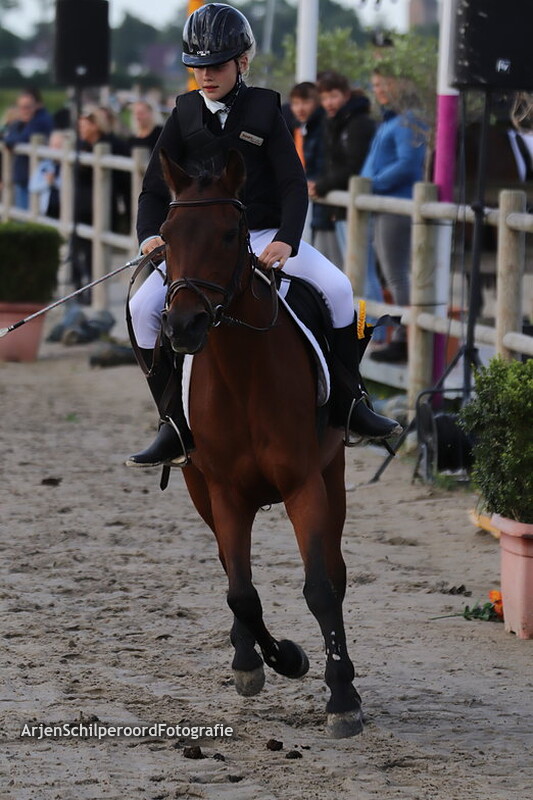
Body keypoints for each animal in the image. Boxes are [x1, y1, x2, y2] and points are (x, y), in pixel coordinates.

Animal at [157, 148, 362, 738]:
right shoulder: (224, 492)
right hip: (198, 486)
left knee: (334, 572)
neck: (242, 375)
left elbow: (320, 586)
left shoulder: (303, 484)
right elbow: (241, 592)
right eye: (165, 234)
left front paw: (342, 696)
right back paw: (246, 654)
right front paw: (276, 659)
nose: (183, 325)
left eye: (230, 234)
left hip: (333, 475)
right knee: (231, 570)